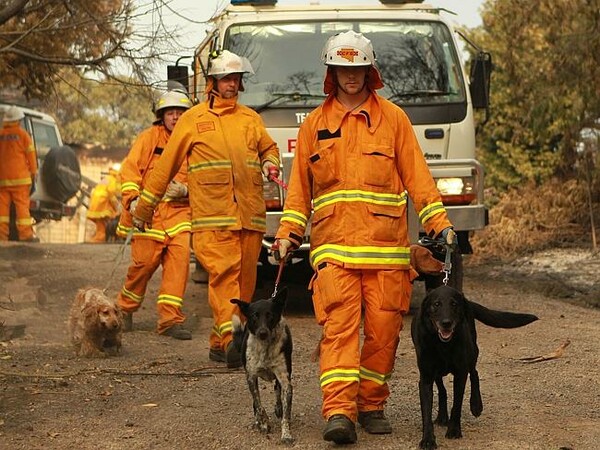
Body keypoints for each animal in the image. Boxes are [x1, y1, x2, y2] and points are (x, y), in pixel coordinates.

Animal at [231, 286, 294, 444]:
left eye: (270, 315)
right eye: (254, 316)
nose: (262, 332)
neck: (265, 347)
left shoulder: (285, 380)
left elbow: (286, 412)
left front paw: (286, 434)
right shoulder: (251, 377)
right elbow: (258, 404)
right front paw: (264, 423)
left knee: (277, 391)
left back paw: (278, 408)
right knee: (255, 402)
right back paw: (258, 421)